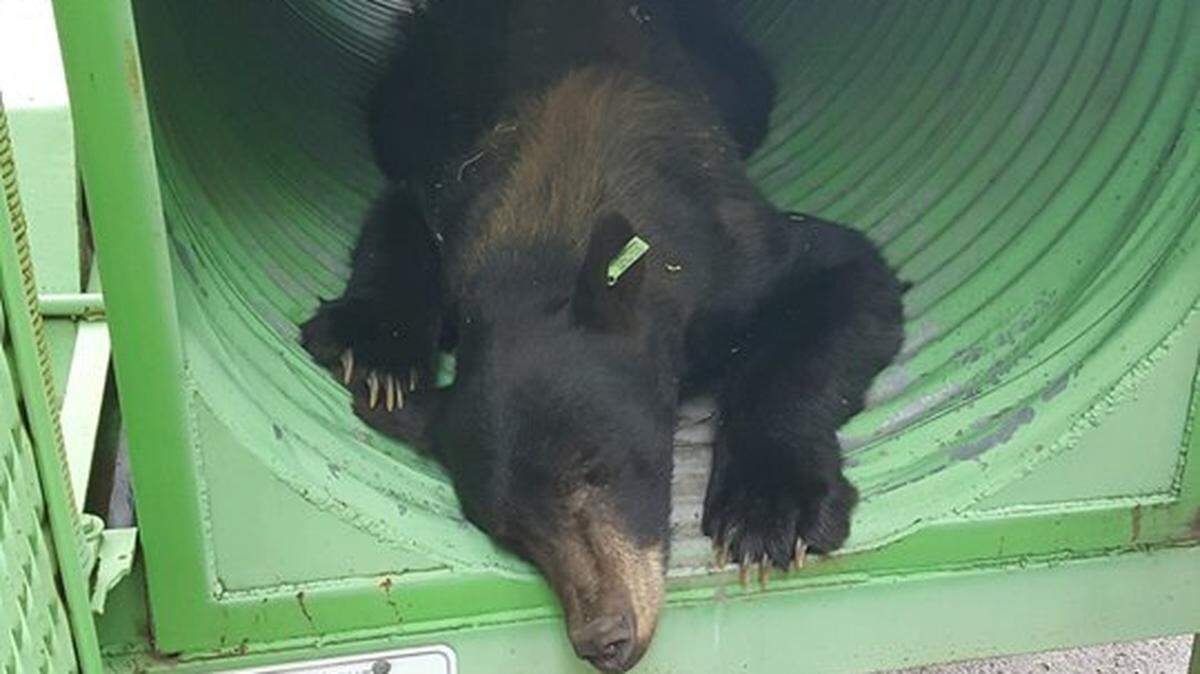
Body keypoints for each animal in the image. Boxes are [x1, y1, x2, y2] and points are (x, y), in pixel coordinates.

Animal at [299, 1, 905, 671]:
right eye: (505, 531)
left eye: (595, 469)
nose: (603, 638)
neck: (551, 240)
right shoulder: (455, 210)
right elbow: (399, 216)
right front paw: (377, 349)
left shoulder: (730, 255)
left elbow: (841, 281)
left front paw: (769, 511)